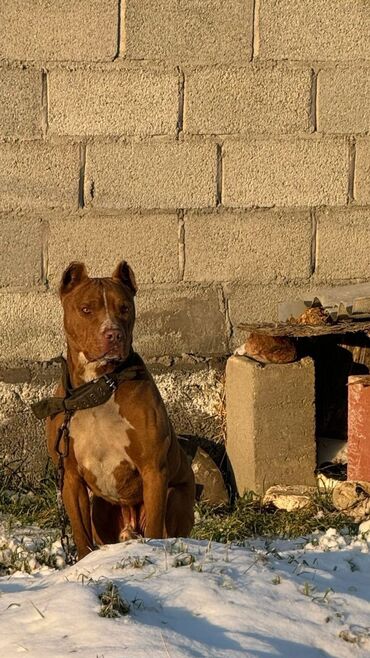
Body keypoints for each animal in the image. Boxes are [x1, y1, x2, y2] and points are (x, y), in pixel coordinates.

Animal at [48, 258, 197, 556]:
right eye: (86, 309)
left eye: (125, 308)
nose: (113, 334)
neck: (99, 387)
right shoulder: (70, 478)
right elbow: (81, 535)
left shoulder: (153, 471)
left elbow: (154, 528)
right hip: (100, 509)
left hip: (176, 497)